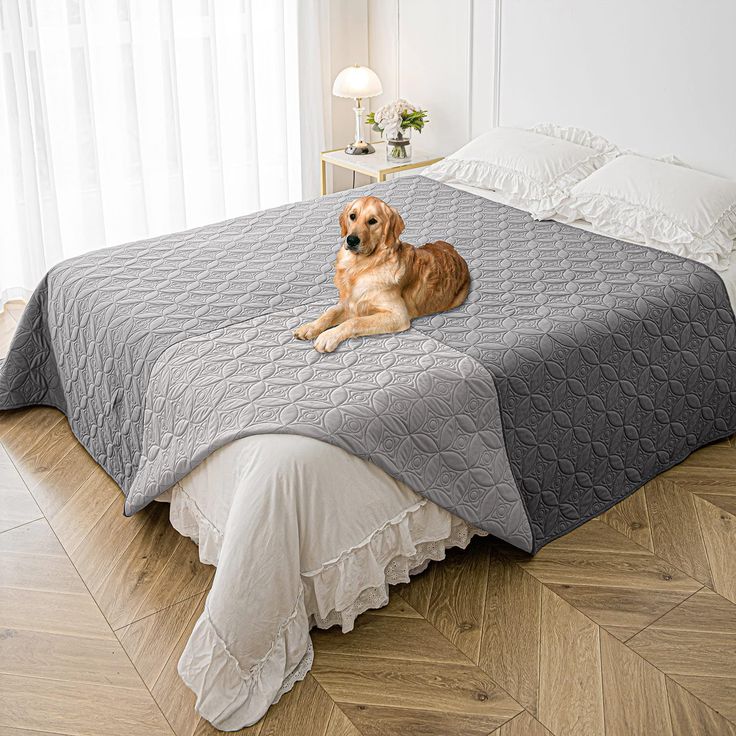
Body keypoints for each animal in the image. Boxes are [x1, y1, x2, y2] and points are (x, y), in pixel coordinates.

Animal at [292, 194, 468, 352]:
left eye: (372, 221)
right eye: (352, 216)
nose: (351, 240)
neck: (362, 267)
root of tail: (454, 251)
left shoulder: (398, 315)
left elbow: (354, 322)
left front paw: (328, 337)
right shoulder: (350, 303)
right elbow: (330, 312)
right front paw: (310, 327)